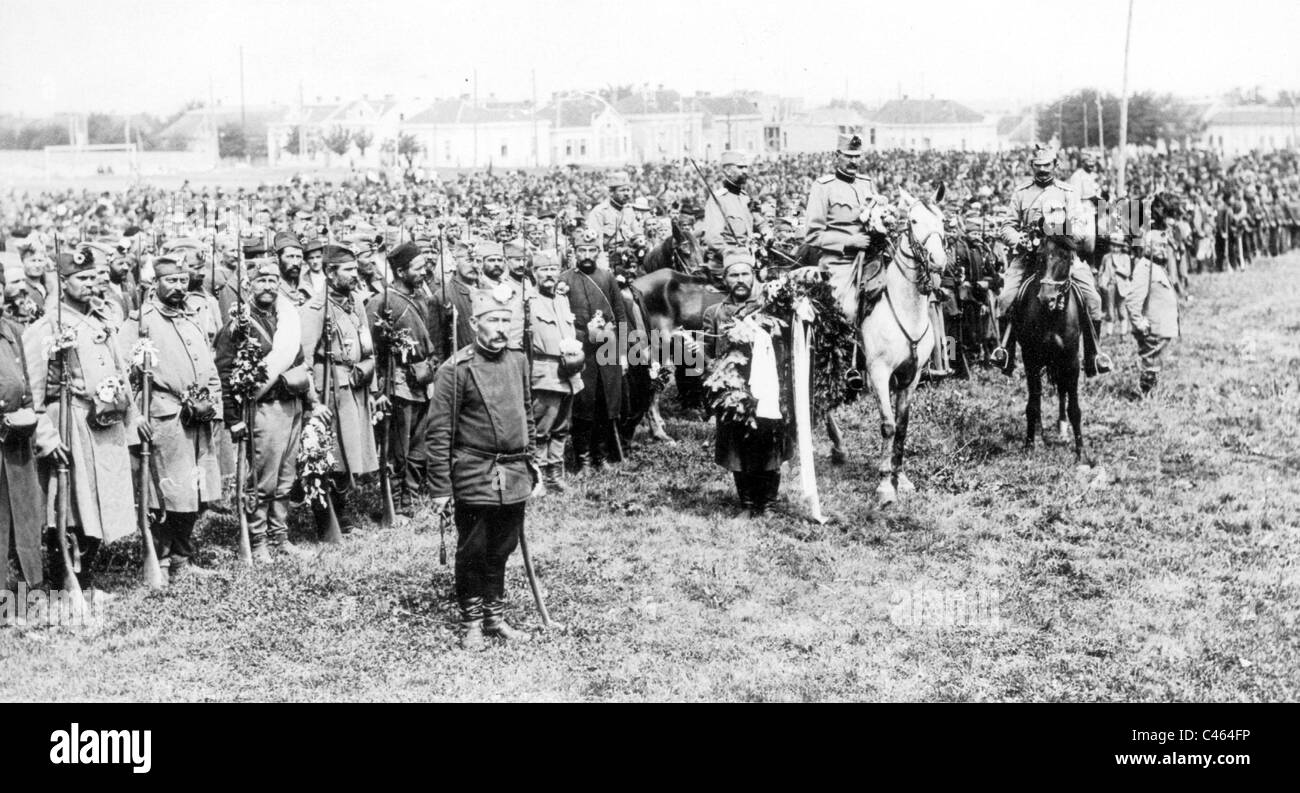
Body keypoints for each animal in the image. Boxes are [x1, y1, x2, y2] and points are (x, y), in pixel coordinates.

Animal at [826, 184, 951, 504]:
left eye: (942, 220)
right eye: (914, 221)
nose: (938, 260)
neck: (906, 308)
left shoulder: (910, 377)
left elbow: (903, 427)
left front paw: (901, 478)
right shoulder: (879, 373)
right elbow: (888, 425)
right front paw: (885, 485)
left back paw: (838, 448)